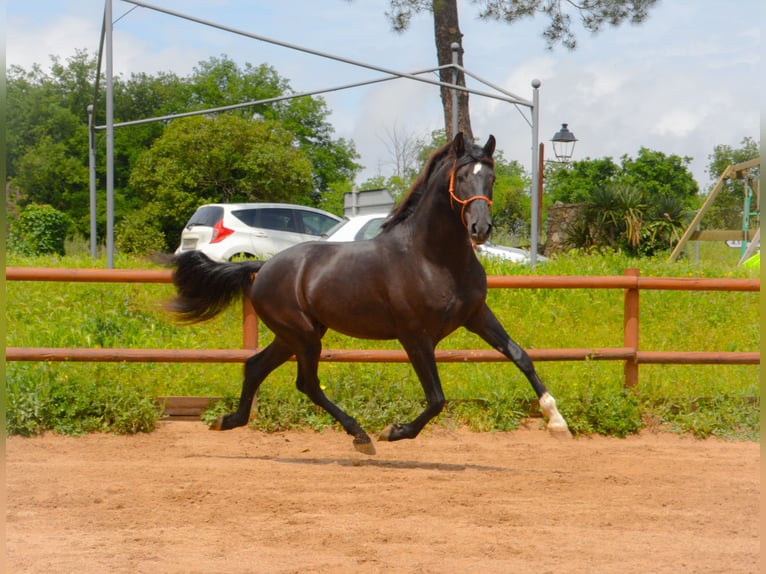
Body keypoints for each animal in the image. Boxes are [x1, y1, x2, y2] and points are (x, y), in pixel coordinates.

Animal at [168, 132, 569, 455]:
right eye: (462, 177)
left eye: (491, 177)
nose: (480, 228)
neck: (433, 258)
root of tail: (262, 268)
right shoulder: (415, 336)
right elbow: (437, 398)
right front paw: (396, 431)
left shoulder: (476, 316)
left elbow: (520, 356)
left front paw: (556, 420)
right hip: (303, 336)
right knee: (306, 383)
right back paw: (361, 435)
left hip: (295, 335)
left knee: (255, 367)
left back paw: (228, 420)